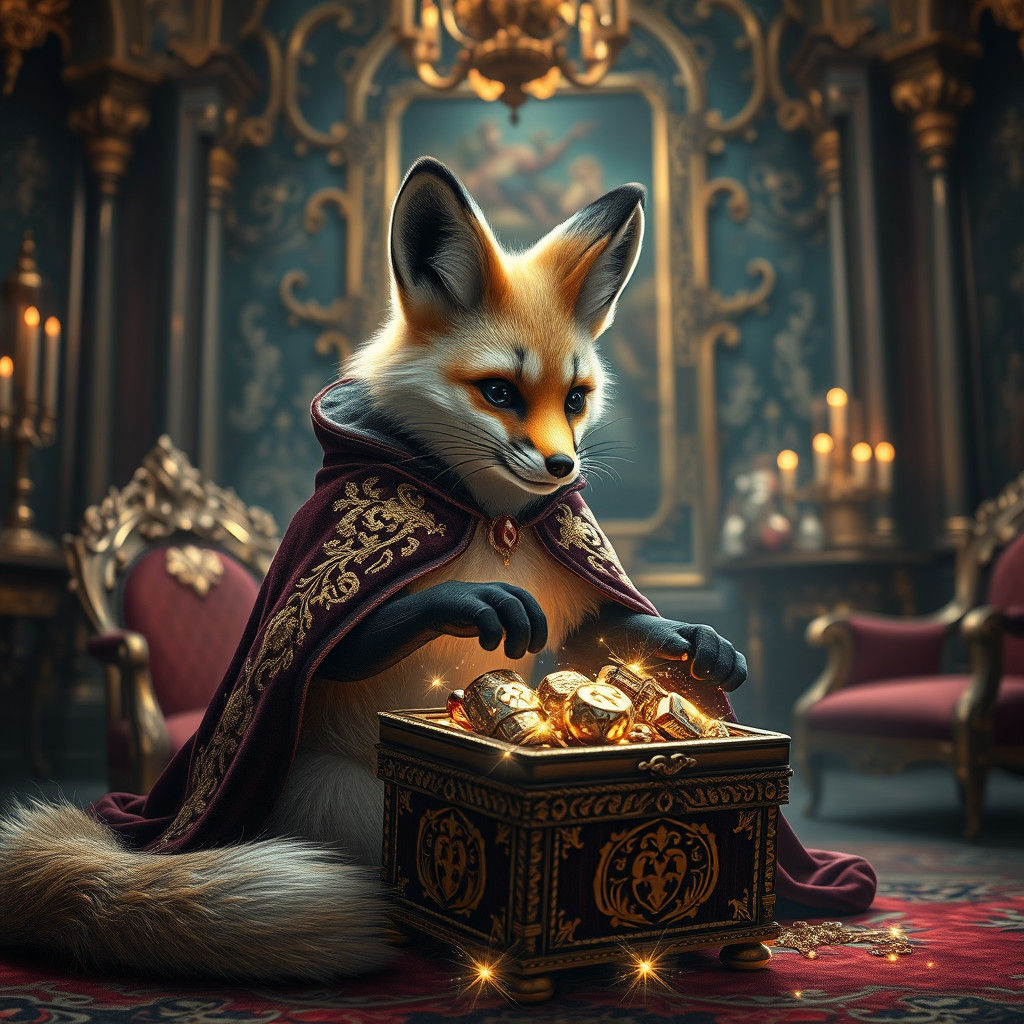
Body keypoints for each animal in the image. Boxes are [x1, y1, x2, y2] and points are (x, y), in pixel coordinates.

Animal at [0, 157, 746, 981]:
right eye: (500, 391)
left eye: (576, 399)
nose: (562, 467)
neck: (493, 522)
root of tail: (139, 827)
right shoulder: (321, 587)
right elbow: (354, 635)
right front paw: (472, 601)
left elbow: (603, 634)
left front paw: (689, 642)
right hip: (335, 795)